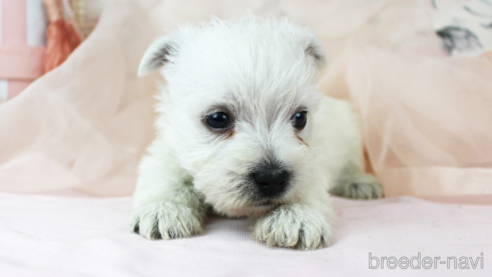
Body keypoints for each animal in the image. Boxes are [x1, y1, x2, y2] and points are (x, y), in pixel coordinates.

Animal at [131, 16, 380, 249]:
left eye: (300, 117)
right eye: (217, 119)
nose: (273, 178)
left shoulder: (310, 167)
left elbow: (307, 189)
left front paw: (295, 215)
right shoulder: (168, 150)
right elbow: (167, 177)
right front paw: (164, 208)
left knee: (352, 164)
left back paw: (360, 182)